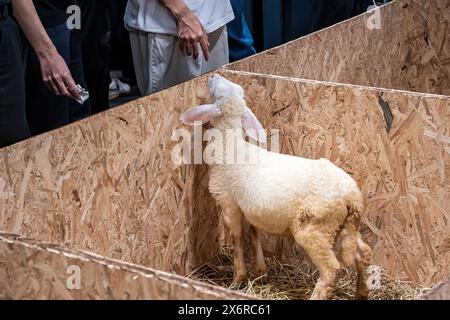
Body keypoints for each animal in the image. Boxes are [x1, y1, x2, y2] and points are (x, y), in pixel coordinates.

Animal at [180, 75, 372, 300]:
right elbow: (254, 234)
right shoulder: (251, 208)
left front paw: (238, 278)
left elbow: (237, 238)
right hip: (345, 225)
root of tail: (352, 196)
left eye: (218, 94)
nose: (213, 76)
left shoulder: (229, 204)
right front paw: (261, 270)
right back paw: (362, 292)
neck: (229, 145)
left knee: (331, 269)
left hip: (315, 227)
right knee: (363, 252)